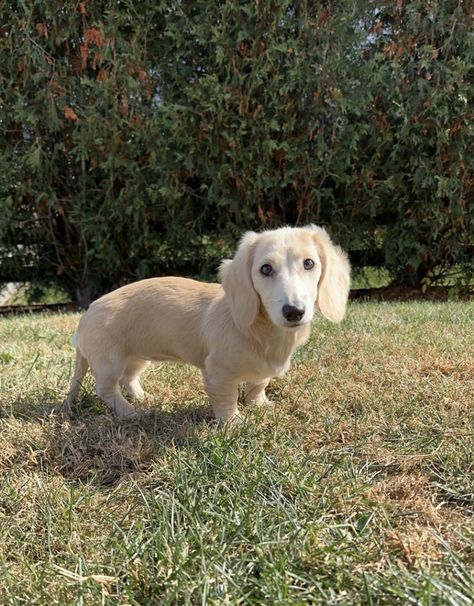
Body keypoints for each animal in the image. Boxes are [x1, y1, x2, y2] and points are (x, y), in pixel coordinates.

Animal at [65, 227, 350, 422]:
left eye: (309, 263)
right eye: (266, 269)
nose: (294, 312)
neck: (261, 331)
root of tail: (85, 317)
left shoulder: (262, 371)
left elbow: (259, 384)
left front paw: (259, 404)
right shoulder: (217, 373)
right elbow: (226, 400)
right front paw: (234, 423)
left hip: (137, 358)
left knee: (128, 378)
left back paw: (143, 399)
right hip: (109, 361)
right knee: (106, 389)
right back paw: (129, 411)